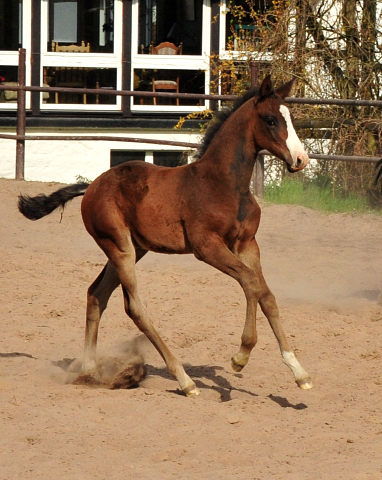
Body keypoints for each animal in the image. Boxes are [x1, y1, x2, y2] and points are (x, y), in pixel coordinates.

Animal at [18, 75, 314, 396]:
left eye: (291, 118)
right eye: (271, 120)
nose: (301, 159)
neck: (225, 185)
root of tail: (92, 185)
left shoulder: (247, 245)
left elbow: (265, 294)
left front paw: (299, 372)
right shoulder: (207, 246)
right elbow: (249, 282)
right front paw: (241, 356)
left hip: (133, 249)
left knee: (96, 294)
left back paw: (89, 371)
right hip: (119, 247)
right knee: (134, 307)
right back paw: (184, 379)